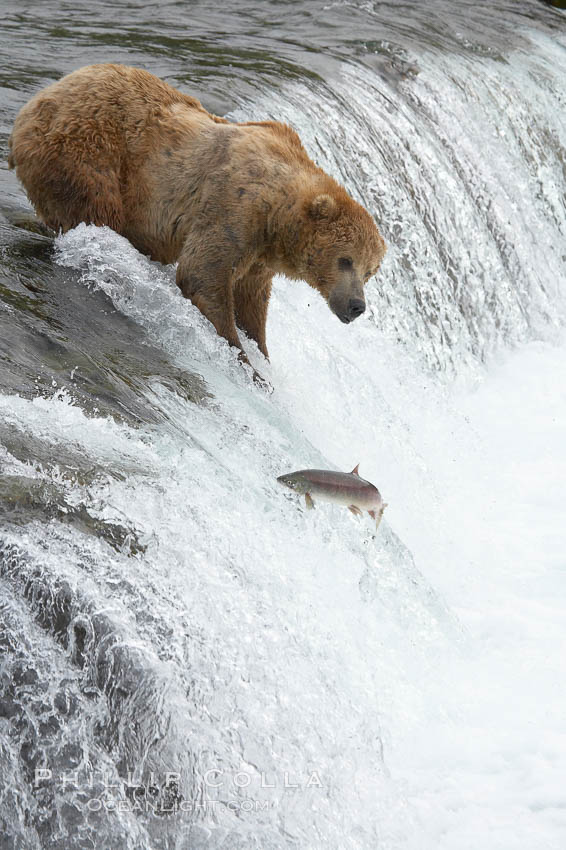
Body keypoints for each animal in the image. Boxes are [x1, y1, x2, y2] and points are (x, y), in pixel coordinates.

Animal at [8, 63, 388, 374]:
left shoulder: (260, 254)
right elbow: (203, 274)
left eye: (369, 271)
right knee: (96, 209)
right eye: (345, 260)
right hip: (88, 153)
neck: (278, 218)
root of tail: (36, 102)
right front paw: (243, 359)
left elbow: (252, 301)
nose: (357, 305)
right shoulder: (235, 208)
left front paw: (260, 351)